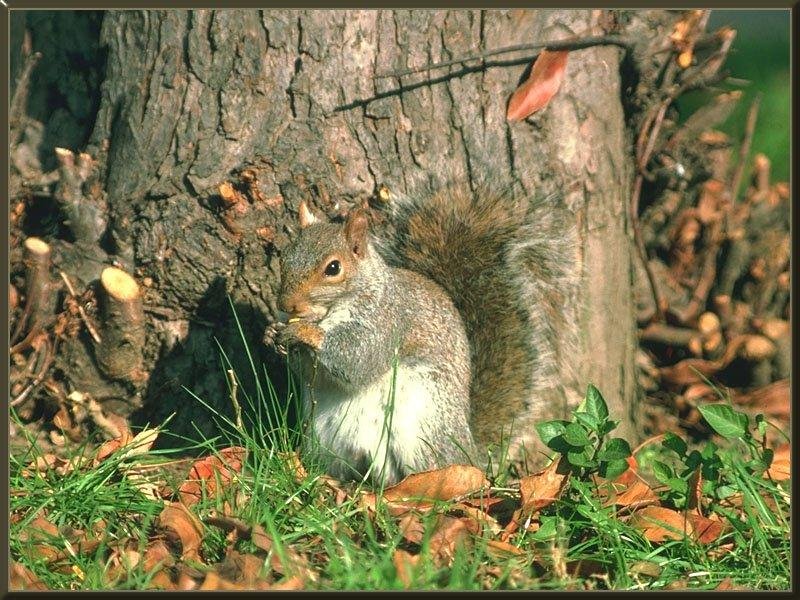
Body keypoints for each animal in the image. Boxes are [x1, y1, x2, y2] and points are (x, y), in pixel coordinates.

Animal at [272, 180, 580, 486]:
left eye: (333, 268)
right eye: (284, 259)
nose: (286, 305)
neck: (330, 312)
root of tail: (470, 454)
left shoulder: (388, 322)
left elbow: (358, 361)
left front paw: (305, 331)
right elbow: (310, 372)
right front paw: (274, 332)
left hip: (421, 428)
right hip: (324, 436)